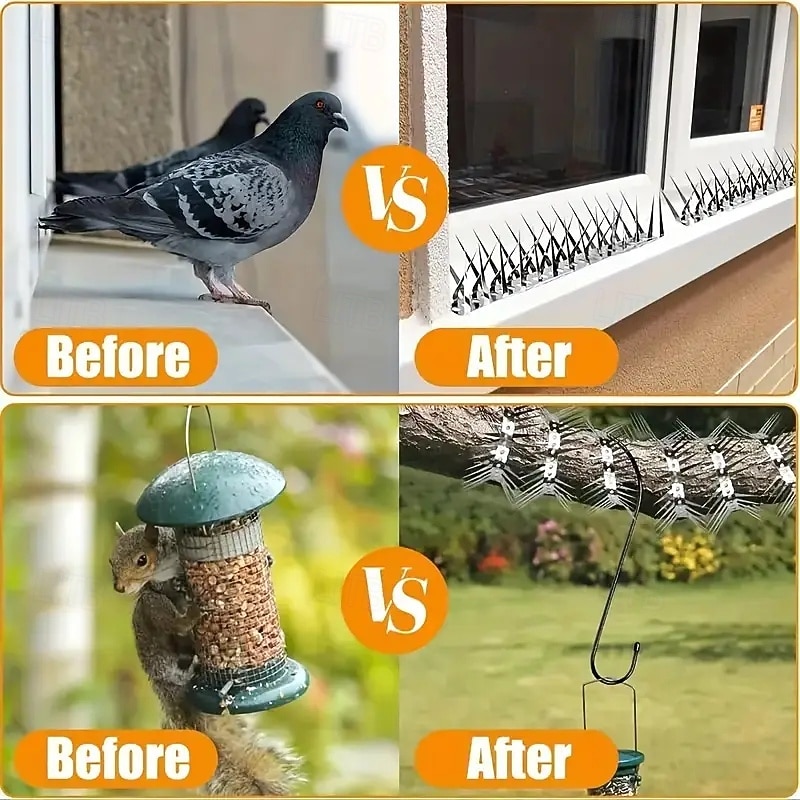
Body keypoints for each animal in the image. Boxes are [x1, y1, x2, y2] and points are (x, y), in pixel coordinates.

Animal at [110, 522, 303, 796]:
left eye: (141, 560)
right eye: (110, 560)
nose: (119, 587)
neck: (165, 566)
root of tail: (162, 683)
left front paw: (267, 558)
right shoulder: (156, 588)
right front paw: (181, 588)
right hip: (152, 626)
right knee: (167, 620)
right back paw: (191, 621)